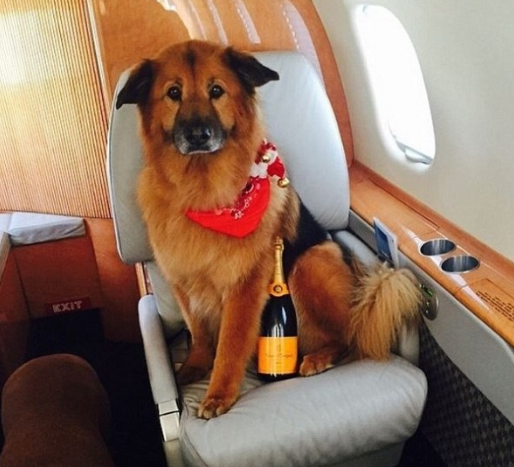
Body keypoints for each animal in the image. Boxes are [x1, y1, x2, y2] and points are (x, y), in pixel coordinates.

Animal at [117, 40, 420, 420]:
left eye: (216, 91)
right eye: (174, 93)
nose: (198, 135)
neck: (204, 192)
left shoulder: (244, 286)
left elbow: (230, 344)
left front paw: (218, 393)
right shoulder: (181, 279)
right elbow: (199, 330)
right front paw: (195, 365)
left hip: (309, 264)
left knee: (347, 337)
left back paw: (318, 357)